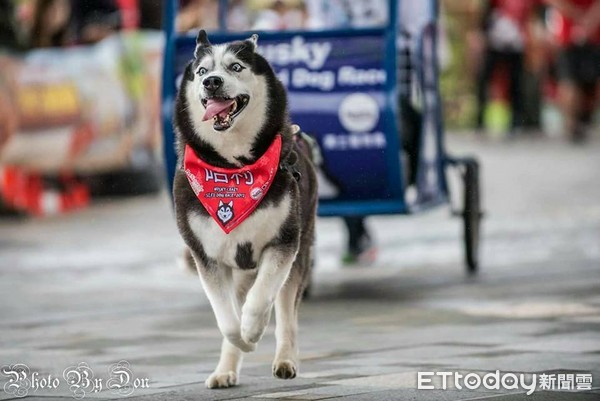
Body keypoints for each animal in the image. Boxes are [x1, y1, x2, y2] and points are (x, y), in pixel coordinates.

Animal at [171, 29, 316, 386]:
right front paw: (242, 339)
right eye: (201, 71)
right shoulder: (207, 256)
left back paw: (285, 359)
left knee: (286, 313)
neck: (232, 168)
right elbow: (226, 320)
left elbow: (261, 298)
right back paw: (225, 370)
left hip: (300, 253)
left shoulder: (283, 243)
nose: (211, 82)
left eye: (235, 67)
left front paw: (252, 329)